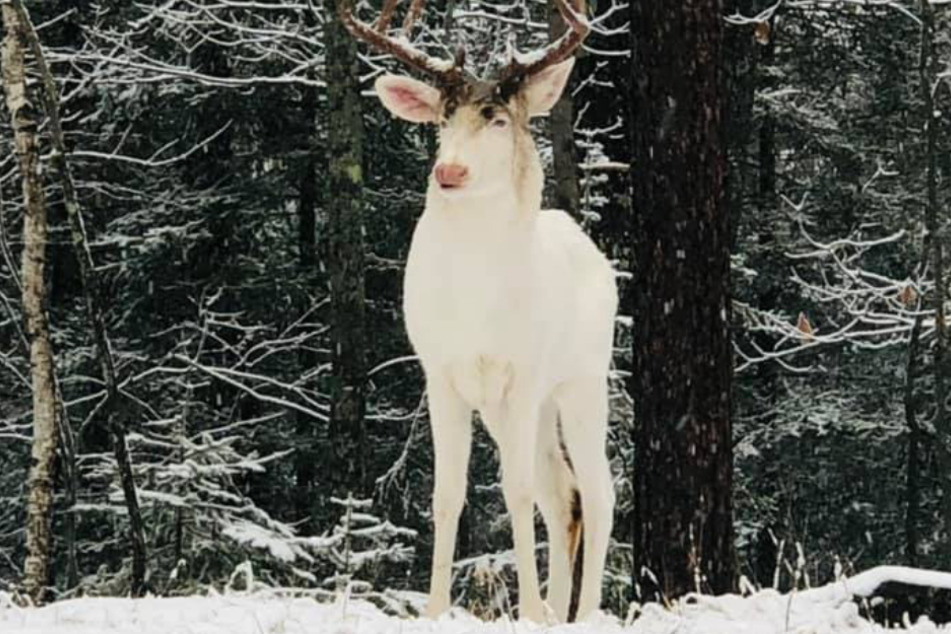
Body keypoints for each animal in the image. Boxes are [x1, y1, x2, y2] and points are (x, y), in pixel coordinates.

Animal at [342, 0, 616, 624]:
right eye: (443, 119)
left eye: (498, 120)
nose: (449, 172)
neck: (476, 307)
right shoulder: (441, 372)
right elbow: (447, 495)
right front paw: (434, 610)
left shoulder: (524, 371)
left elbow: (515, 490)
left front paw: (530, 612)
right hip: (520, 404)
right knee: (563, 493)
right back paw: (559, 611)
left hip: (582, 378)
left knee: (598, 490)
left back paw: (581, 613)